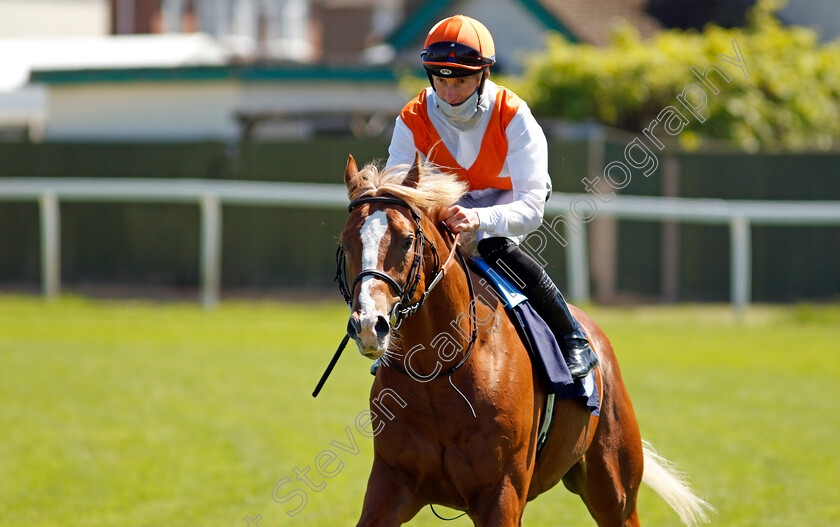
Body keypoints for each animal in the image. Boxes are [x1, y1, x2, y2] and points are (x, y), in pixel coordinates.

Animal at [334, 154, 708, 527]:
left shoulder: (502, 495)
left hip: (615, 491)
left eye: (407, 239)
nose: (368, 325)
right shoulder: (390, 485)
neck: (438, 377)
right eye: (346, 242)